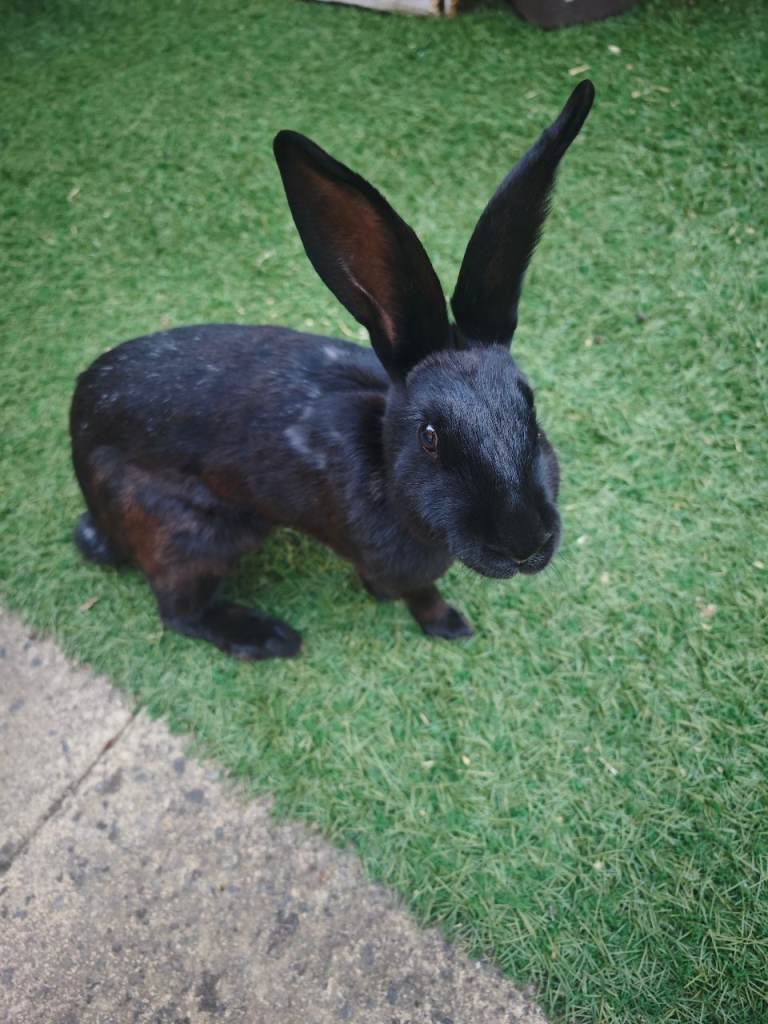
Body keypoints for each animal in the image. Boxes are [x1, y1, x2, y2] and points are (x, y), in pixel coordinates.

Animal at [70, 81, 595, 660]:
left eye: (532, 411)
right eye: (430, 436)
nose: (524, 543)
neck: (386, 469)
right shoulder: (399, 567)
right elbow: (419, 595)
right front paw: (449, 625)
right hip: (191, 536)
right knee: (178, 610)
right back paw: (268, 637)